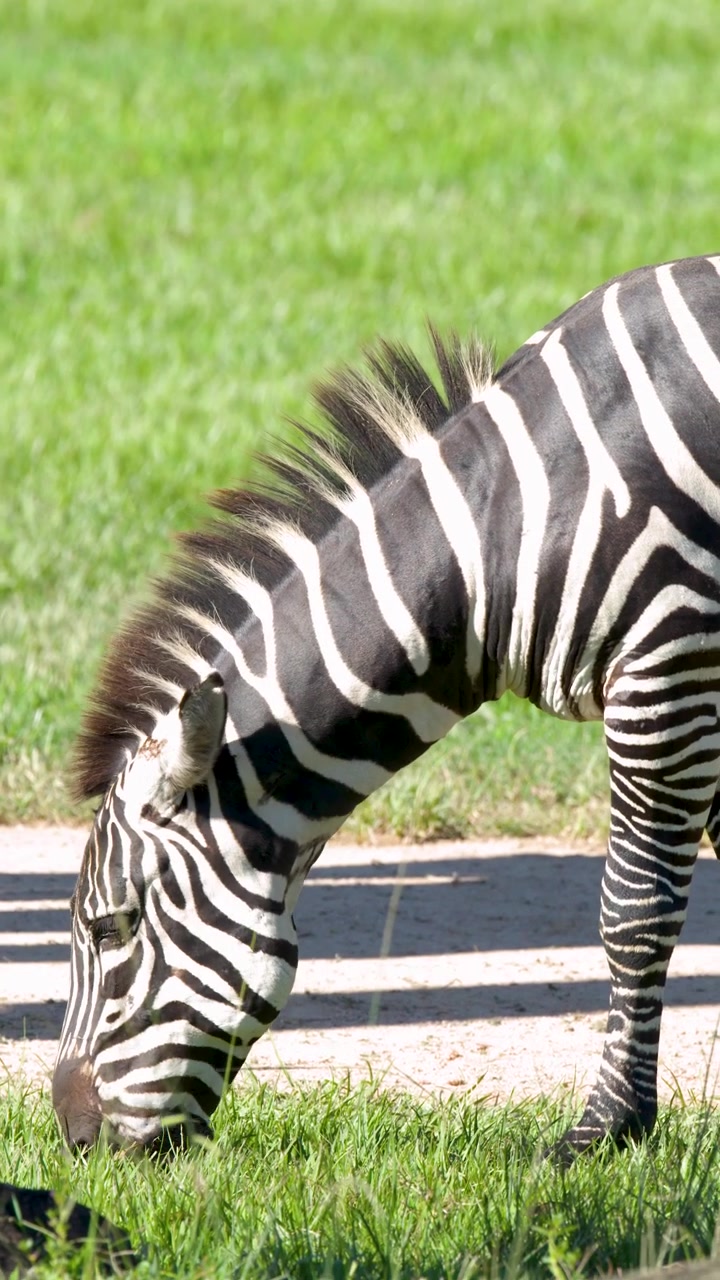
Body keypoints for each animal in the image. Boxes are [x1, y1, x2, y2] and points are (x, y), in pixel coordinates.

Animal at [53, 252, 720, 1158]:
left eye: (110, 929)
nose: (72, 1139)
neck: (500, 536)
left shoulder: (669, 660)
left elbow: (634, 911)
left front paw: (609, 1129)